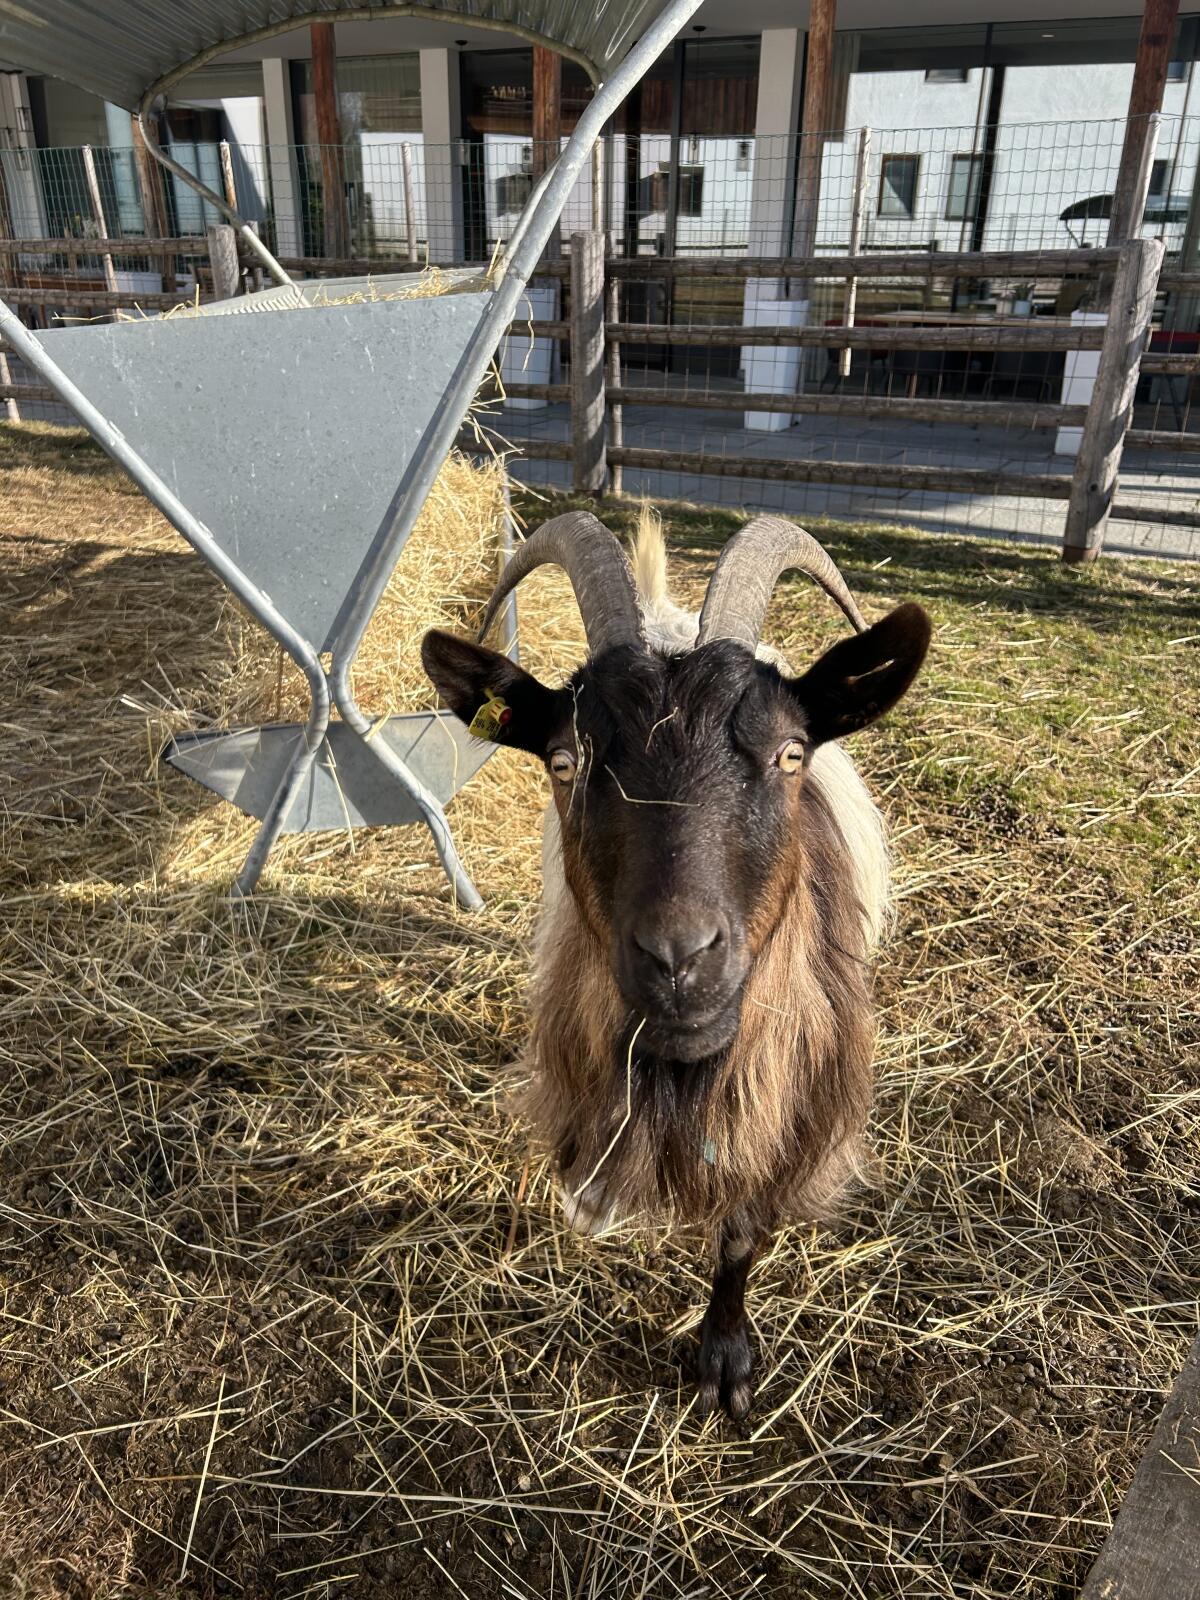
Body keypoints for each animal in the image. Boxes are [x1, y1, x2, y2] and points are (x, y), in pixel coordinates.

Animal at [422, 510, 930, 1418]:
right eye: (565, 762)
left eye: (791, 753)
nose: (678, 957)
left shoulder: (785, 1110)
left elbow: (742, 1231)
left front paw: (725, 1359)